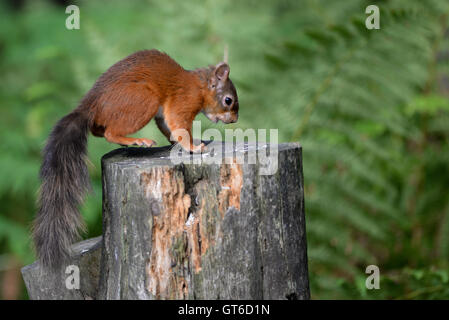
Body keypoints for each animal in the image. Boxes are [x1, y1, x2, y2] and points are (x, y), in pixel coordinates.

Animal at [32, 50, 238, 268]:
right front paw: (194, 147)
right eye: (228, 100)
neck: (200, 85)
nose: (234, 120)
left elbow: (168, 128)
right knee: (110, 133)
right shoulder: (183, 101)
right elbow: (179, 126)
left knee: (98, 130)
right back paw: (137, 140)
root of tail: (91, 106)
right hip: (143, 100)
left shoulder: (164, 115)